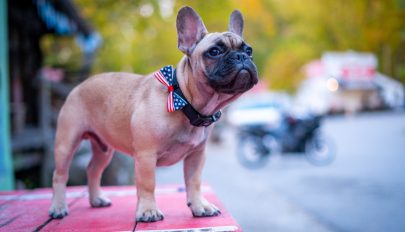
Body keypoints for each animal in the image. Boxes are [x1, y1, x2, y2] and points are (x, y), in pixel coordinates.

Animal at [47, 6, 256, 222]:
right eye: (214, 51)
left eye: (249, 51)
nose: (241, 57)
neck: (184, 101)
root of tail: (80, 85)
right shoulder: (146, 155)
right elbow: (148, 184)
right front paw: (148, 211)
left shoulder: (196, 156)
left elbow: (194, 182)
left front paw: (200, 206)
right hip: (66, 142)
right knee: (59, 175)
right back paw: (58, 207)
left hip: (103, 149)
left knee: (93, 170)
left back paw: (97, 199)